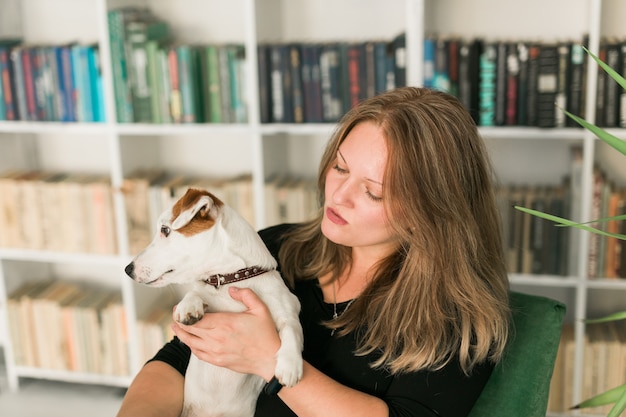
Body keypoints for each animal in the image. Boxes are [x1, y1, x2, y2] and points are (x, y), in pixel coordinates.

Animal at [123, 188, 302, 416]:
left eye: (165, 229)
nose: (127, 269)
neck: (230, 279)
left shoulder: (287, 306)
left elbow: (291, 329)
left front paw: (290, 365)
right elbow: (195, 293)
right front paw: (189, 306)